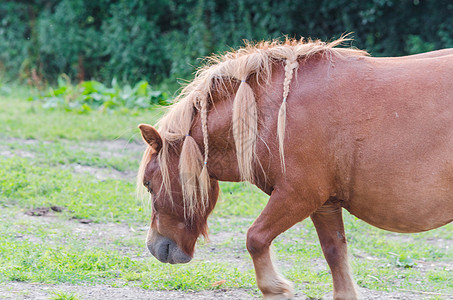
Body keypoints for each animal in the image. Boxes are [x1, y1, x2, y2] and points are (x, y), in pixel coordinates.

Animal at [137, 38, 452, 300]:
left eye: (149, 184)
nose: (155, 247)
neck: (274, 112)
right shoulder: (324, 205)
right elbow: (335, 254)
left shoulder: (297, 195)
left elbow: (255, 238)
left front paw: (275, 288)